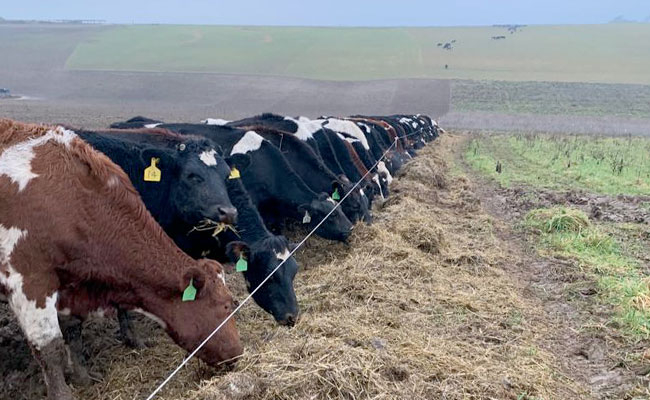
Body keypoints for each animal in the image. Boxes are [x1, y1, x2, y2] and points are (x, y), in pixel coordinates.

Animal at [0, 119, 240, 400]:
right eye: (227, 305)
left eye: (226, 175)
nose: (239, 353)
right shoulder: (29, 280)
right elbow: (50, 349)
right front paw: (63, 393)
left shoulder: (70, 282)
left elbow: (73, 330)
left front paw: (82, 376)